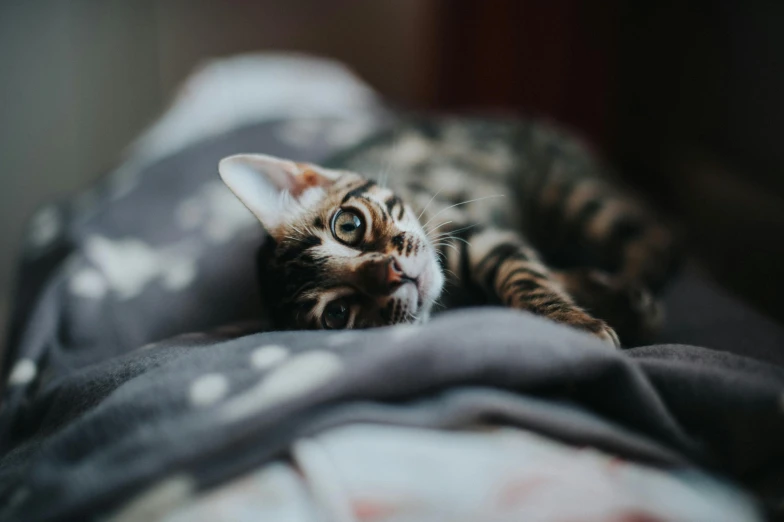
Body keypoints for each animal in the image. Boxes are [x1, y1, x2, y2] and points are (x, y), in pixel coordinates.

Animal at [217, 116, 676, 348]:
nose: (393, 274)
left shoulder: (478, 235)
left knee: (660, 235)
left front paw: (576, 323)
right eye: (337, 314)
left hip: (571, 194)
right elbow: (544, 272)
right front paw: (604, 300)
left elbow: (527, 278)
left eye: (348, 225)